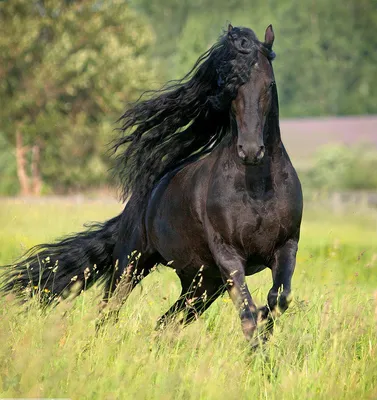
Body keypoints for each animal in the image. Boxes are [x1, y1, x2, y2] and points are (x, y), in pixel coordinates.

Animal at [1, 23, 302, 340]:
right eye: (229, 87)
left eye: (269, 85)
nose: (251, 151)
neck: (257, 189)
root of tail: (138, 201)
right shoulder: (229, 256)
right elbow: (247, 310)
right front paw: (259, 341)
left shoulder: (286, 247)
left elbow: (279, 298)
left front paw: (266, 331)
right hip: (132, 264)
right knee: (109, 312)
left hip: (202, 284)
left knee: (166, 322)